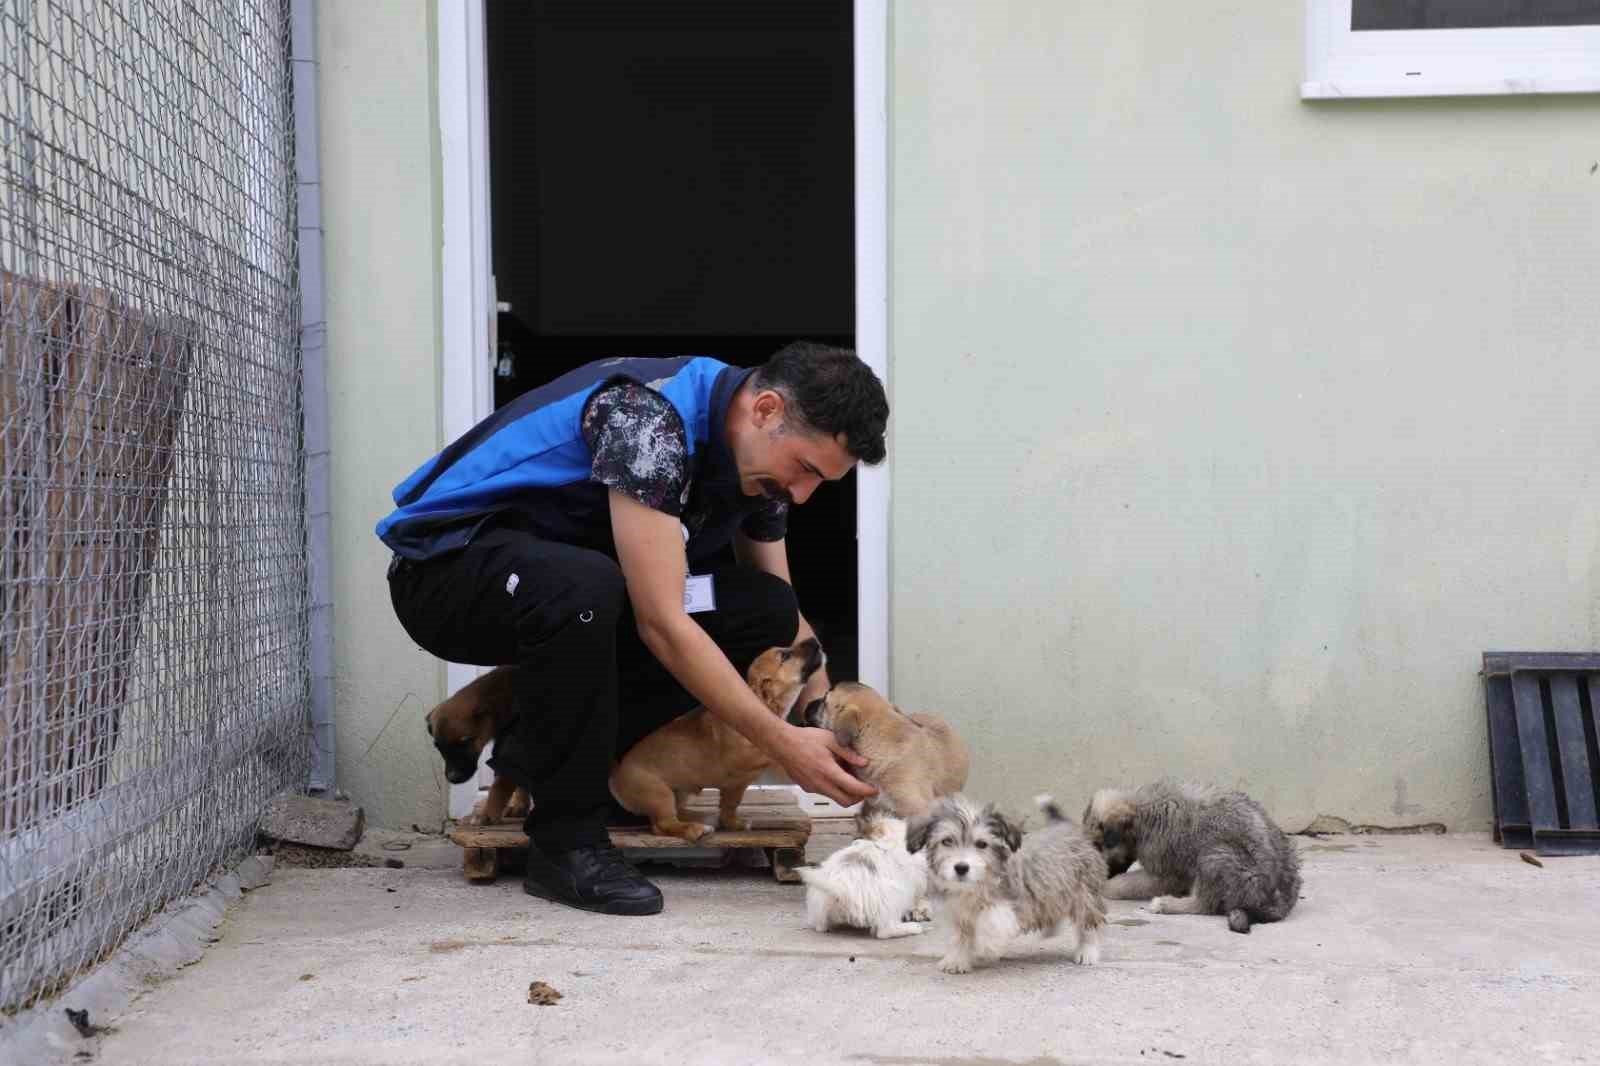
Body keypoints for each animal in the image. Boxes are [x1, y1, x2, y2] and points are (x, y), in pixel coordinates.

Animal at [422, 659, 528, 825]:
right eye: (438, 747)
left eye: (465, 742)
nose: (453, 778)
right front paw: (519, 806)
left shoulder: (517, 746)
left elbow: (501, 782)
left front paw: (488, 813)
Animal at [608, 633, 825, 845]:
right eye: (785, 656)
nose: (815, 639)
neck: (764, 706)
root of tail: (615, 776)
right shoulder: (742, 761)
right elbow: (772, 751)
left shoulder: (736, 785)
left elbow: (729, 806)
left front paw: (733, 823)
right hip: (659, 795)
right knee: (663, 825)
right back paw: (695, 829)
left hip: (678, 793)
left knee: (675, 814)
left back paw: (697, 817)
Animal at [796, 809, 934, 934]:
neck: (886, 835)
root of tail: (841, 891)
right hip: (894, 897)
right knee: (885, 931)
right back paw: (914, 928)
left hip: (818, 910)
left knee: (821, 927)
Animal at [908, 787, 1107, 973]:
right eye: (947, 841)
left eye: (981, 844)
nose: (961, 867)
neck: (975, 885)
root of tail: (1065, 826)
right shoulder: (958, 912)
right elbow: (960, 936)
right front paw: (956, 960)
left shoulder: (1014, 901)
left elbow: (992, 918)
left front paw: (986, 945)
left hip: (1084, 893)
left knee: (1088, 923)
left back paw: (1087, 952)